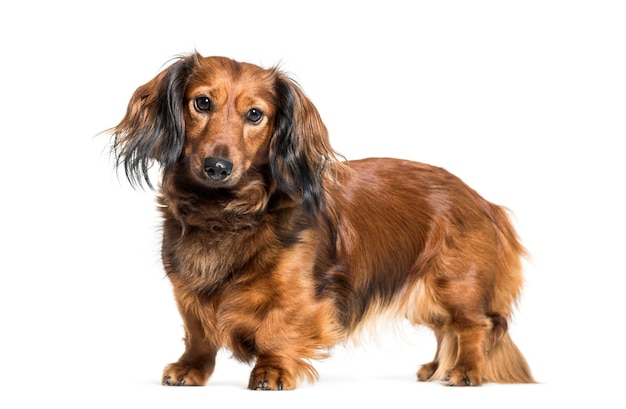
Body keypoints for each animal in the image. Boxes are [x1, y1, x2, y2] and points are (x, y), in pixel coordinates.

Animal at [108, 51, 532, 388]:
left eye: (255, 114)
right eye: (202, 103)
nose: (217, 167)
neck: (225, 213)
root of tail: (483, 201)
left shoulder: (300, 294)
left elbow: (277, 329)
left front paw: (272, 371)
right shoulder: (188, 290)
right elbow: (198, 332)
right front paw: (190, 369)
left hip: (455, 285)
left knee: (474, 326)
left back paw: (466, 370)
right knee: (447, 329)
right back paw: (436, 367)